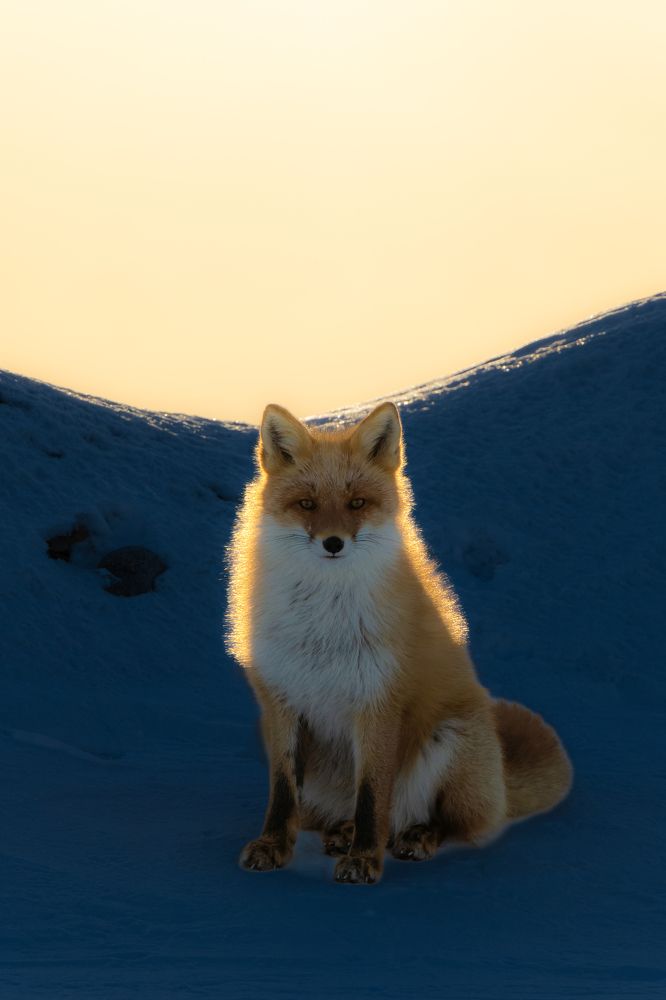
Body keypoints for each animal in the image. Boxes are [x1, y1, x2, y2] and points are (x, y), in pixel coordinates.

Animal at [226, 401, 572, 884]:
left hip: (450, 739)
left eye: (356, 503)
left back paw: (415, 837)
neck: (323, 624)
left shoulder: (378, 700)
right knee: (352, 813)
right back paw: (341, 831)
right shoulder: (281, 702)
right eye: (307, 504)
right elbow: (282, 794)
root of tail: (501, 782)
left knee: (443, 822)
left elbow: (373, 797)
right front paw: (273, 847)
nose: (333, 543)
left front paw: (364, 861)